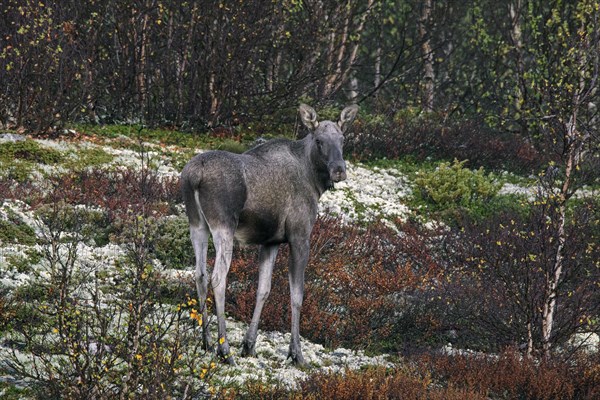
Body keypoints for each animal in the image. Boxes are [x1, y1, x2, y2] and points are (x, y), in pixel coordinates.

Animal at [180, 104, 358, 366]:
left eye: (343, 139)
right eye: (319, 140)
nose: (338, 170)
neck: (314, 181)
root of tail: (194, 175)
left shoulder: (271, 241)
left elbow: (263, 289)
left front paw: (249, 345)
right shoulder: (299, 236)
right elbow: (297, 295)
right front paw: (296, 354)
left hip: (197, 224)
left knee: (200, 275)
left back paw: (207, 342)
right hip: (223, 226)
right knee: (218, 278)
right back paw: (225, 350)